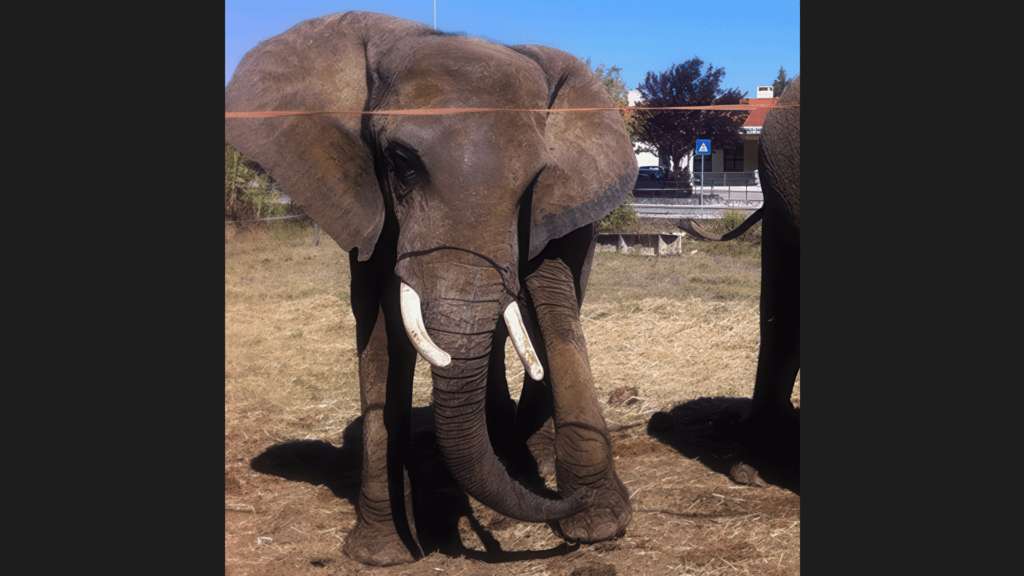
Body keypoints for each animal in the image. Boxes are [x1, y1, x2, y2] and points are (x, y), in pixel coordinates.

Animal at [225, 12, 637, 566]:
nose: (561, 505)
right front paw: (383, 554)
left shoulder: (554, 203)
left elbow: (550, 298)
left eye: (533, 180)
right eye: (401, 163)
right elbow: (379, 327)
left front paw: (598, 524)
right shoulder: (366, 201)